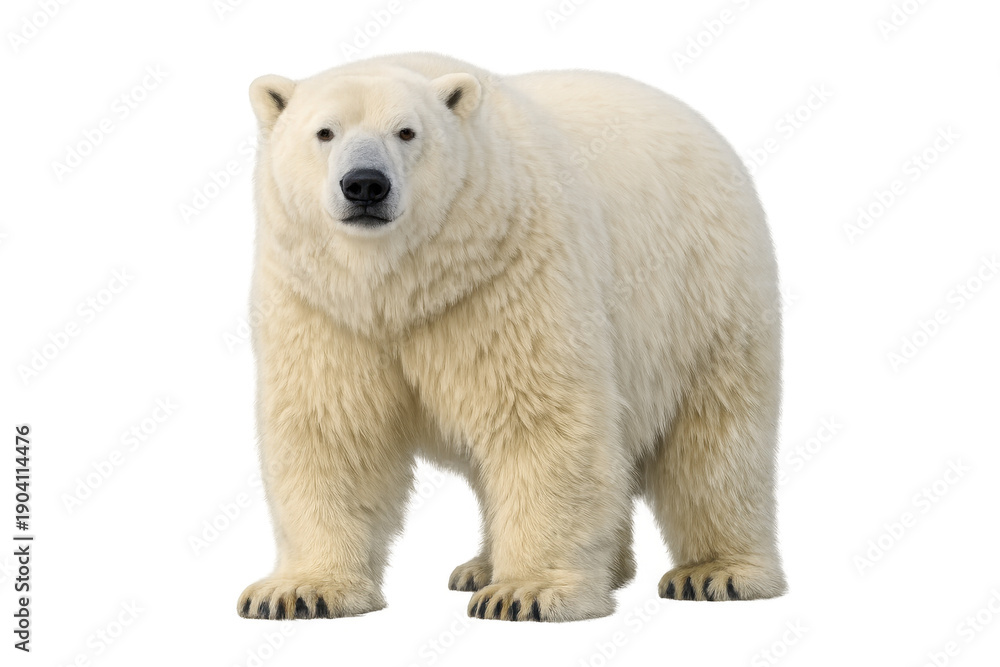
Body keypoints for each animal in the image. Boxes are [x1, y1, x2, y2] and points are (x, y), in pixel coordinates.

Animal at [237, 52, 786, 623]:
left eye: (407, 131)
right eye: (325, 131)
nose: (365, 183)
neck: (402, 283)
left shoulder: (505, 274)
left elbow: (539, 417)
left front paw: (526, 592)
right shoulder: (322, 303)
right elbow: (329, 428)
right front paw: (299, 590)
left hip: (705, 294)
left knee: (715, 442)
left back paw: (715, 572)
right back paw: (488, 565)